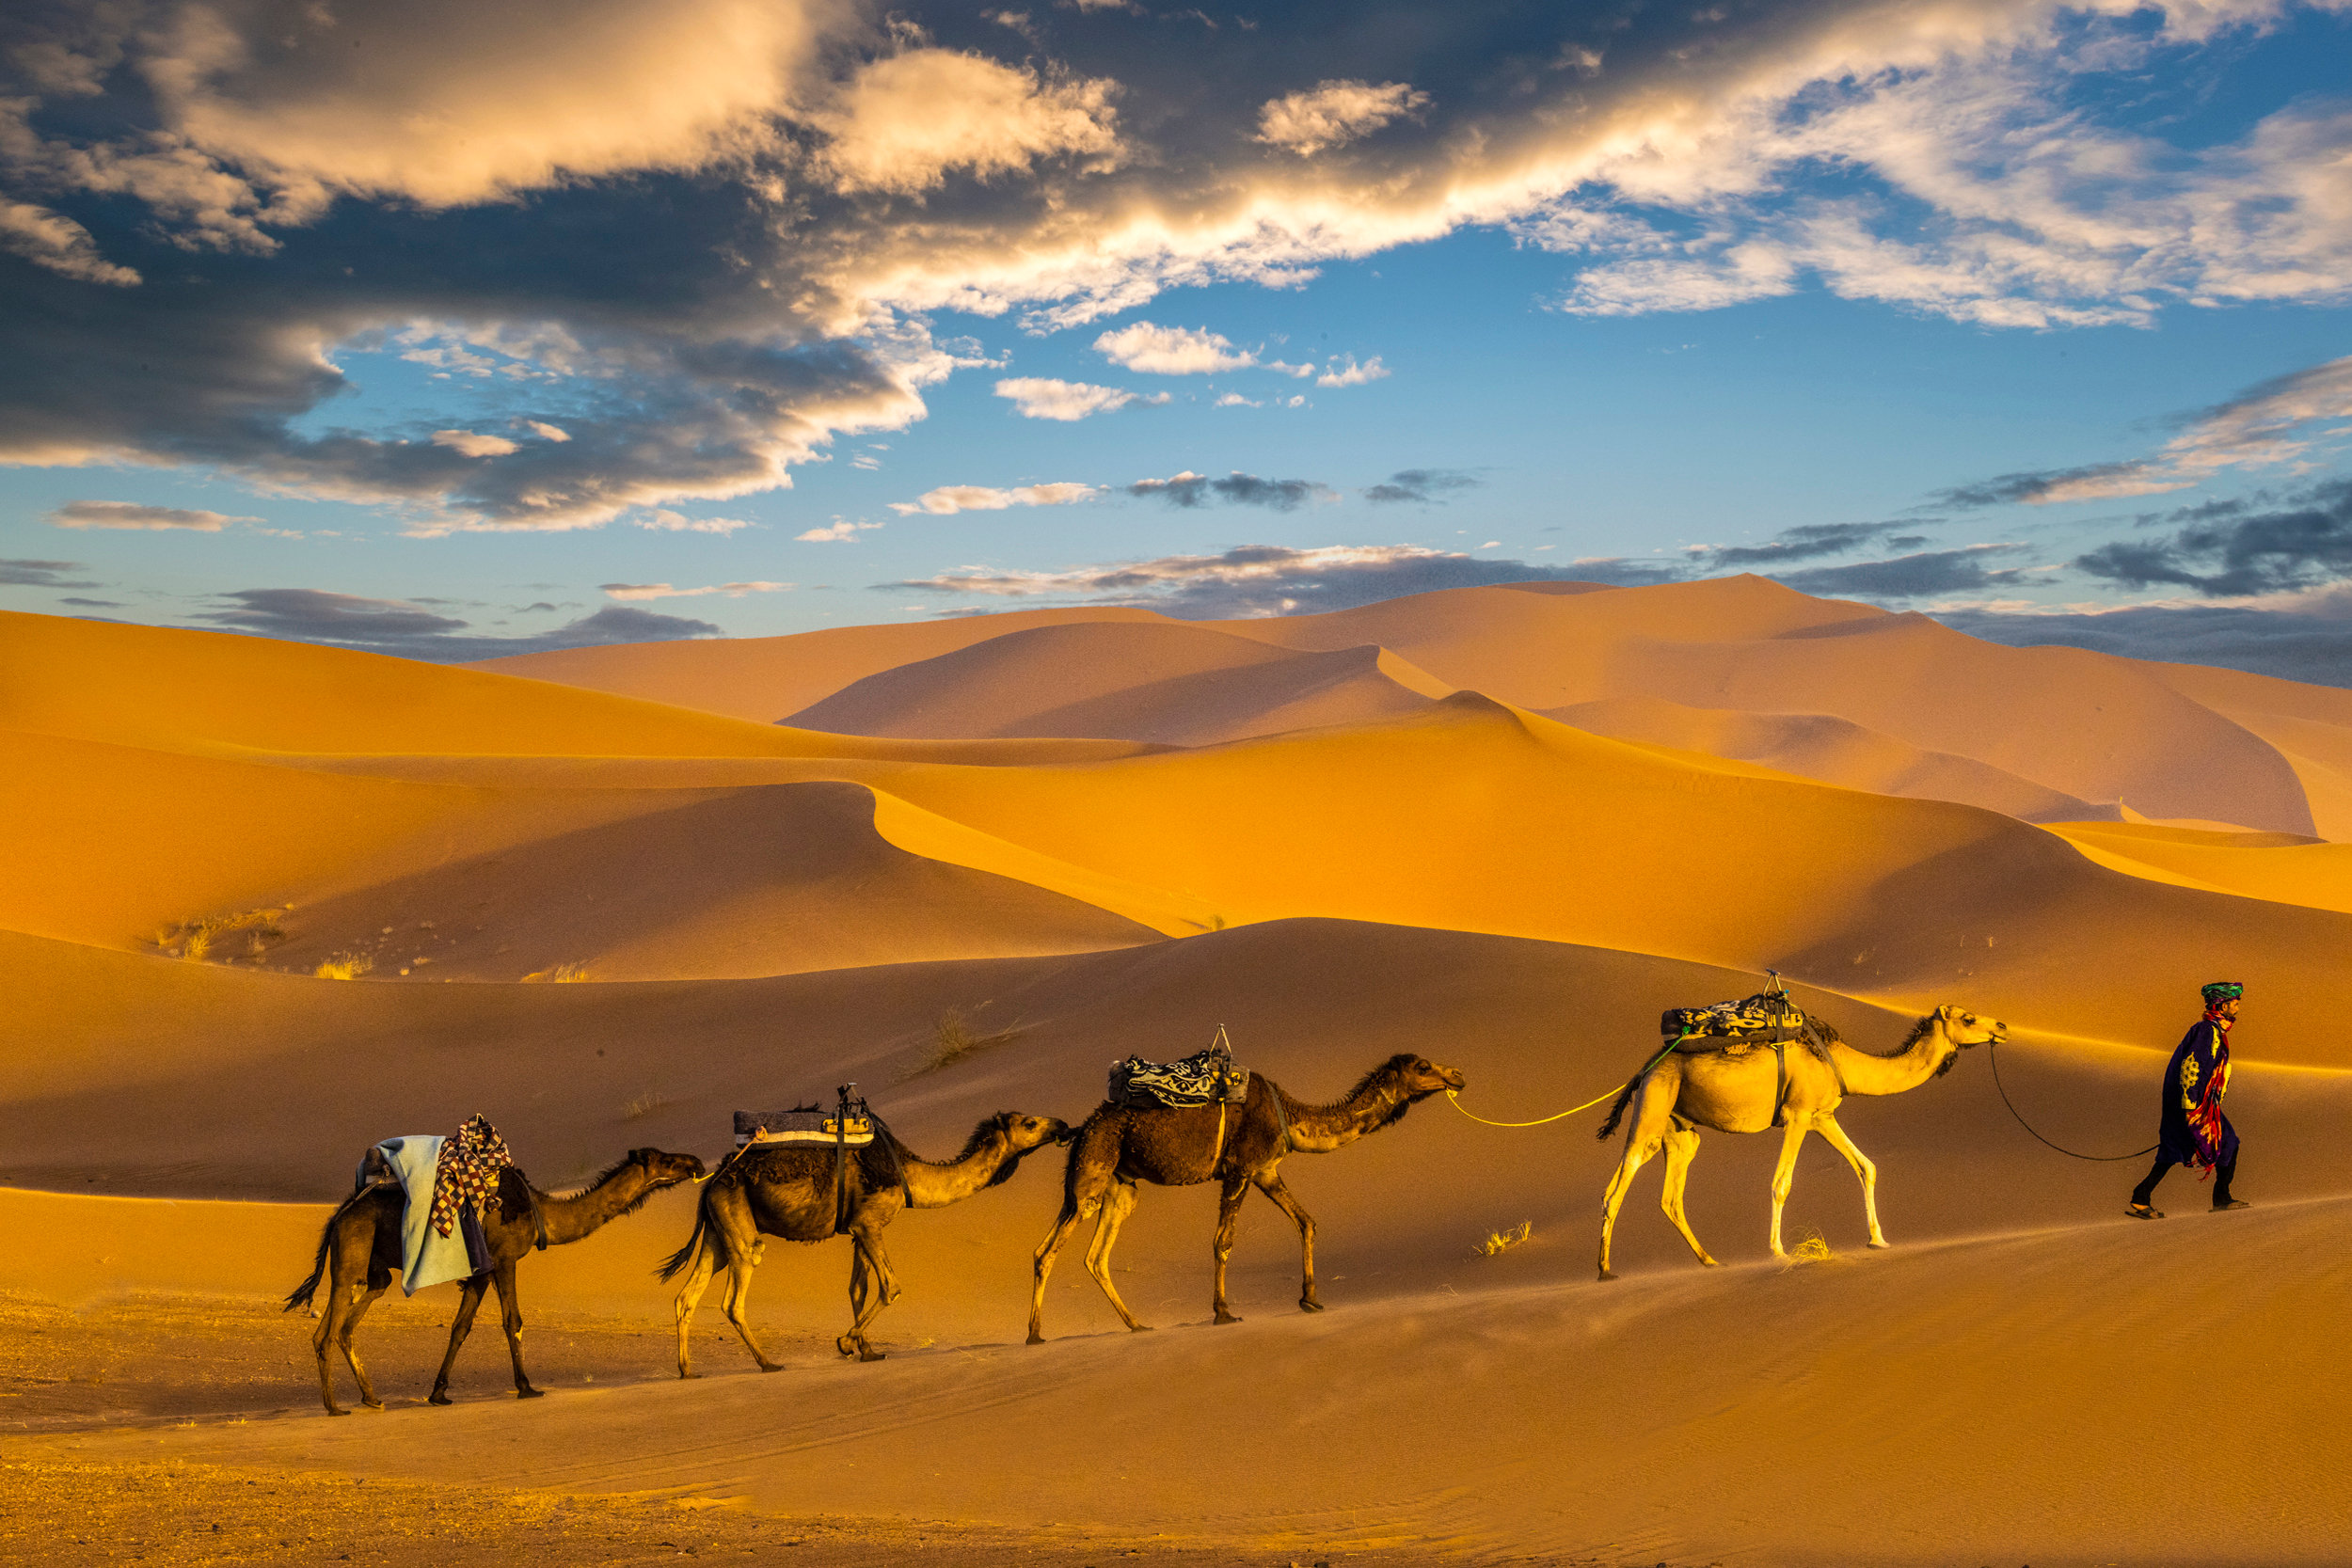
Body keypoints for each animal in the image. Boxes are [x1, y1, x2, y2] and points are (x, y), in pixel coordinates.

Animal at [278, 1147, 696, 1419]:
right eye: (666, 1159)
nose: (693, 1162)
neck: (541, 1211)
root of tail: (338, 1215)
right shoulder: (505, 1258)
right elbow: (513, 1321)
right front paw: (527, 1387)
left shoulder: (481, 1270)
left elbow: (460, 1327)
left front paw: (439, 1393)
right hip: (351, 1254)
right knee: (326, 1330)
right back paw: (334, 1407)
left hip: (375, 1269)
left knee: (349, 1322)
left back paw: (371, 1398)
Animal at [663, 1109, 1068, 1382]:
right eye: (1029, 1124)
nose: (1062, 1126)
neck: (910, 1177)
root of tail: (713, 1180)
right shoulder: (871, 1223)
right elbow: (890, 1286)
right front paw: (845, 1343)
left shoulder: (858, 1229)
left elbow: (858, 1288)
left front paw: (868, 1351)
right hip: (739, 1226)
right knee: (733, 1299)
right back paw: (768, 1363)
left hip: (718, 1233)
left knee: (686, 1296)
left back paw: (687, 1370)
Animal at [1035, 1048, 1468, 1344]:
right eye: (1423, 1067)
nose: (1458, 1075)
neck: (1289, 1116)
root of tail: (1084, 1127)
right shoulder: (1241, 1169)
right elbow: (1222, 1241)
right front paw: (1223, 1312)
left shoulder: (1266, 1170)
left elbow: (1306, 1222)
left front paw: (1310, 1299)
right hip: (1094, 1167)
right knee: (1049, 1249)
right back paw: (1035, 1334)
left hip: (1120, 1183)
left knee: (1095, 1255)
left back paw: (1137, 1324)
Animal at [1590, 1001, 1994, 1278]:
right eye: (1969, 1018)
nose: (2002, 1026)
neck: (1842, 1061)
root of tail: (1646, 1067)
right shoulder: (1798, 1115)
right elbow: (1781, 1183)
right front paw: (1777, 1251)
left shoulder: (1822, 1116)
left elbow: (1866, 1166)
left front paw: (1878, 1239)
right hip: (1654, 1104)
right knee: (1618, 1183)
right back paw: (1605, 1269)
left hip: (1679, 1126)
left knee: (1671, 1196)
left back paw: (1710, 1260)